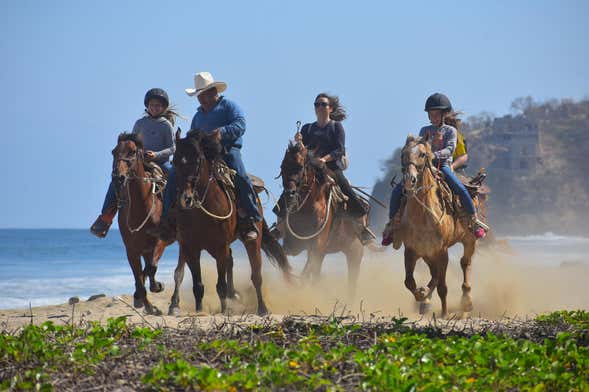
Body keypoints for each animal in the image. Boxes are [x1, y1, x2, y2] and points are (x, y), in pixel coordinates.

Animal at [110, 134, 171, 316]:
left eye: (132, 151)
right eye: (114, 152)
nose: (118, 177)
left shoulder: (161, 241)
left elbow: (149, 268)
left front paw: (155, 288)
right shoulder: (132, 250)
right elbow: (139, 275)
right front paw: (148, 305)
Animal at [168, 130, 292, 316]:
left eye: (197, 160)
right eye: (174, 161)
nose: (185, 198)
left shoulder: (220, 247)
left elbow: (220, 285)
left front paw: (225, 310)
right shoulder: (191, 248)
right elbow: (197, 285)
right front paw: (199, 311)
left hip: (252, 241)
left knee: (256, 275)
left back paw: (262, 308)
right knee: (230, 262)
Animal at [280, 140, 366, 298]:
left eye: (300, 167)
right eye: (283, 167)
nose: (290, 194)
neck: (308, 208)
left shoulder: (317, 245)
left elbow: (306, 272)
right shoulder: (293, 245)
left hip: (355, 253)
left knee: (352, 282)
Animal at [390, 136, 478, 316]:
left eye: (423, 154)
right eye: (403, 153)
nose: (409, 179)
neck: (423, 215)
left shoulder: (442, 251)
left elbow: (442, 287)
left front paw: (444, 313)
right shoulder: (411, 250)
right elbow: (409, 282)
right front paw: (422, 296)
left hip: (469, 240)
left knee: (464, 263)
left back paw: (466, 302)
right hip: (427, 253)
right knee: (434, 273)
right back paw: (426, 298)